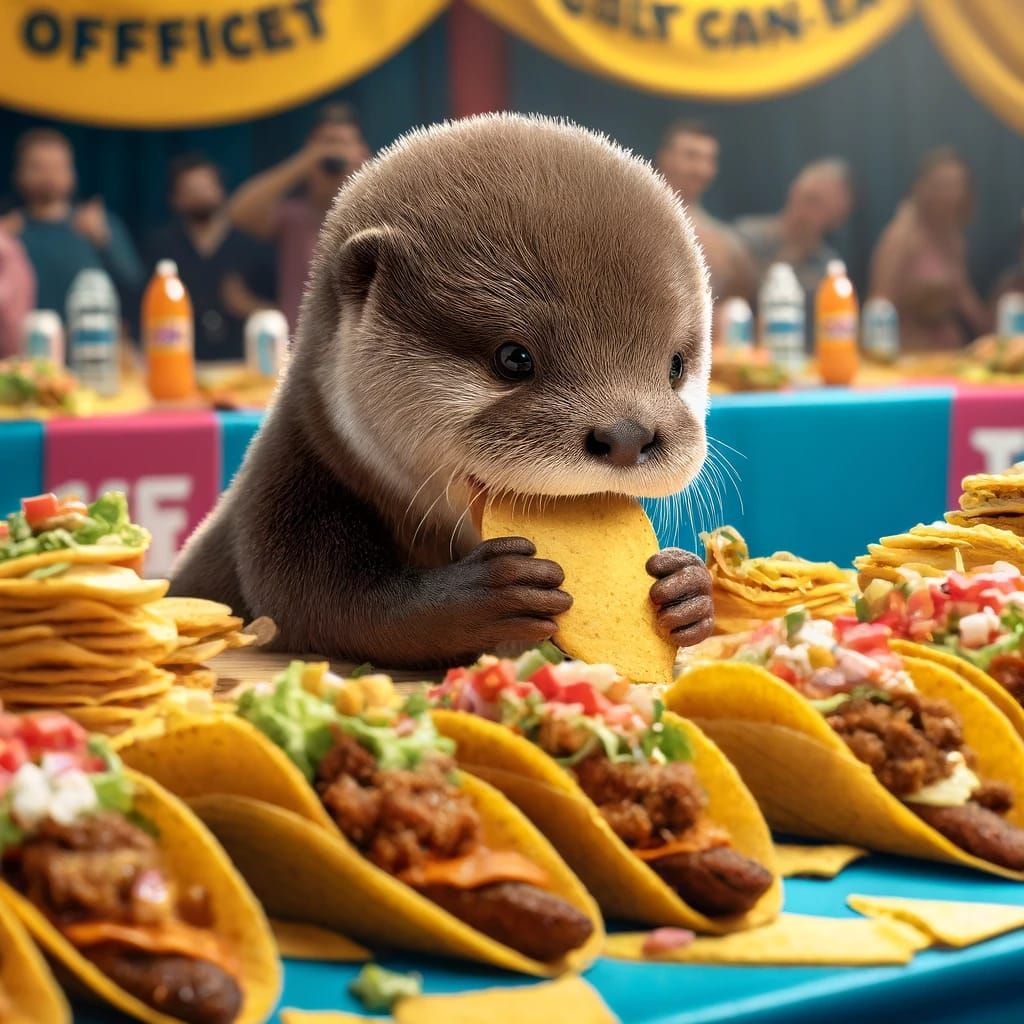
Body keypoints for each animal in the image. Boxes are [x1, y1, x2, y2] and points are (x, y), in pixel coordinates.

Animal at [172, 114, 715, 667]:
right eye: (513, 358)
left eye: (675, 365)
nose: (627, 435)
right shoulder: (284, 496)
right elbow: (321, 604)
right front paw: (479, 595)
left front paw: (689, 585)